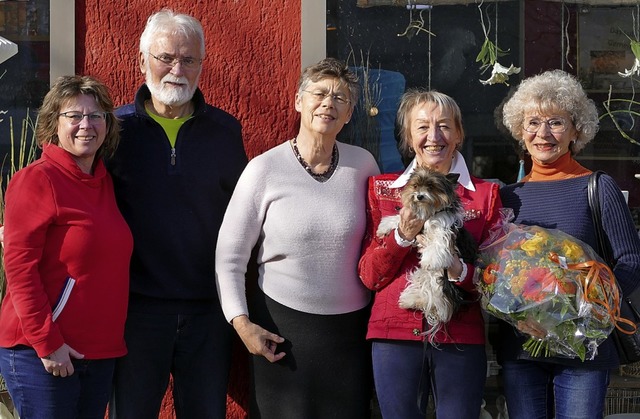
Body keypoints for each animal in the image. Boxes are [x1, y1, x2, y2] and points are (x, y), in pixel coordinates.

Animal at [378, 167, 472, 338]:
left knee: (439, 301)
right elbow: (399, 222)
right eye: (415, 186)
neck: (430, 212)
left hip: (443, 280)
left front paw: (431, 259)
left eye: (431, 187)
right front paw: (384, 226)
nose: (419, 196)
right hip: (425, 275)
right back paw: (409, 299)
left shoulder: (444, 229)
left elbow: (438, 243)